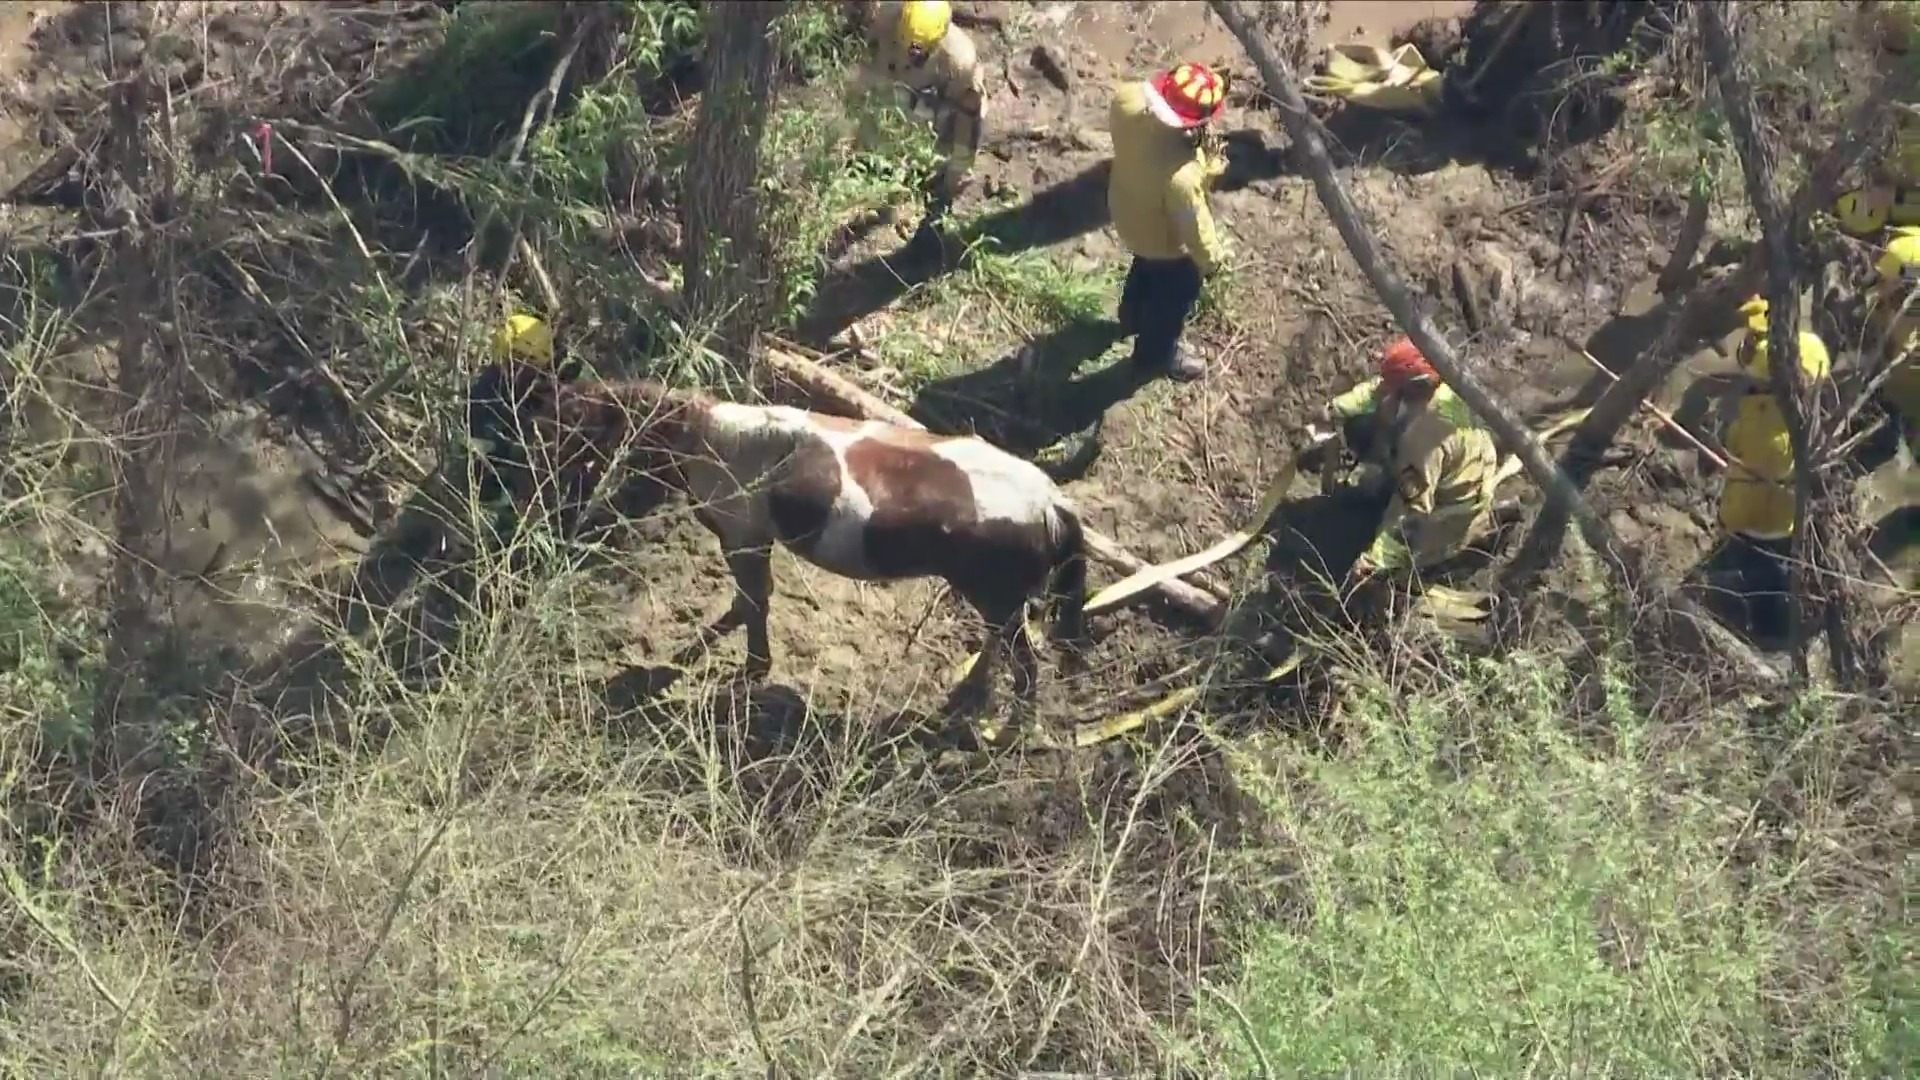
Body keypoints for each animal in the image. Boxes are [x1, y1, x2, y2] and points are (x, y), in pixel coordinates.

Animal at [466, 363, 1090, 730]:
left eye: (553, 435)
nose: (518, 495)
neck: (704, 437)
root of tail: (1052, 503)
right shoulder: (750, 539)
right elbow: (746, 603)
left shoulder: (742, 537)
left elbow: (753, 602)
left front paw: (749, 671)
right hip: (992, 597)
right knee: (1003, 648)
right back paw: (967, 698)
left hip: (996, 596)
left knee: (1025, 665)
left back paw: (1007, 726)